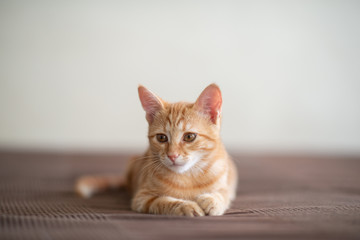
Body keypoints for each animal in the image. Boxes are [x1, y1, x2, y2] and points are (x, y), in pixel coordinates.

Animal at [76, 83, 236, 217]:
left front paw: (213, 200)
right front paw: (186, 206)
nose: (172, 155)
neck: (187, 177)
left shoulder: (227, 185)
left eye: (189, 137)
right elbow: (164, 201)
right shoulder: (142, 199)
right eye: (161, 138)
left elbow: (223, 194)